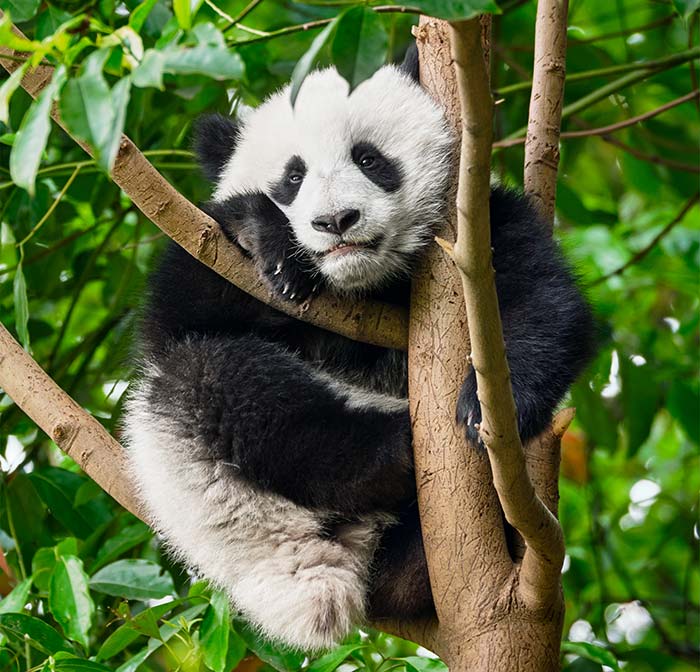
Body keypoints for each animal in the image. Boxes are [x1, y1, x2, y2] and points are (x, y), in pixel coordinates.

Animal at [123, 51, 592, 652]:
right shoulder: (197, 254)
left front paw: (485, 410)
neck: (362, 285)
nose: (335, 221)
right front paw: (269, 240)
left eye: (368, 158)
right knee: (233, 388)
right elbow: (186, 307)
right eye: (292, 177)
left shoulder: (475, 229)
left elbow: (543, 302)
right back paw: (392, 449)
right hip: (192, 470)